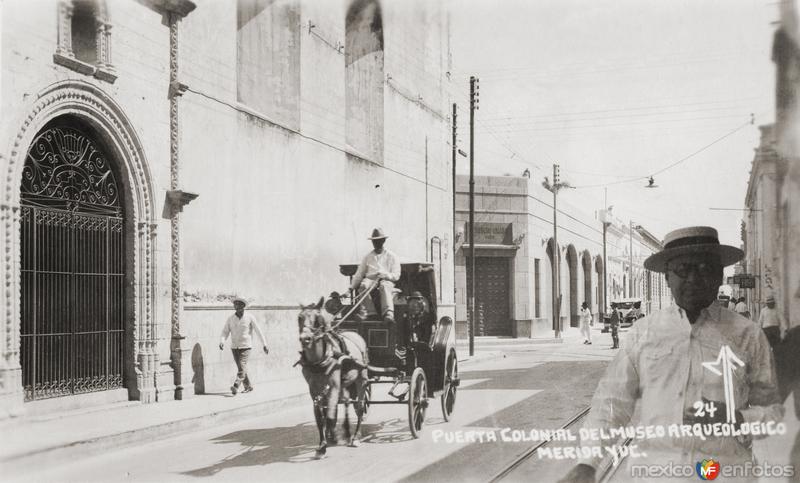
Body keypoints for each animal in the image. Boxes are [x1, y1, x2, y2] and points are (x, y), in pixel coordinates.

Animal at [296, 296, 368, 460]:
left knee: (360, 407)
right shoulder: (314, 390)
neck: (319, 360)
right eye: (299, 318)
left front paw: (330, 439)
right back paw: (346, 430)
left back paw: (355, 436)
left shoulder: (334, 387)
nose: (305, 339)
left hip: (361, 379)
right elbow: (320, 418)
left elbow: (329, 416)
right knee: (347, 402)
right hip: (346, 383)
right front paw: (323, 445)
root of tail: (356, 335)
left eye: (318, 319)